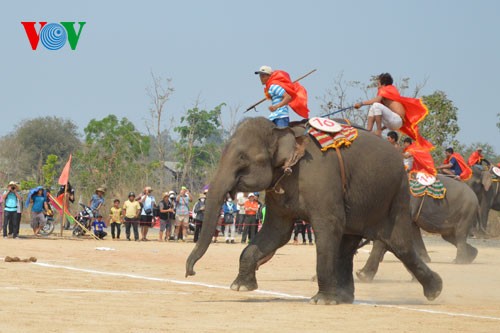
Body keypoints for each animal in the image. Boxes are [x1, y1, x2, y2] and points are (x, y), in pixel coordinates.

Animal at [185, 116, 442, 304]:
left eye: (242, 158)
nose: (190, 273)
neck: (283, 132)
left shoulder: (321, 179)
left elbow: (327, 227)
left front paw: (321, 301)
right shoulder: (279, 189)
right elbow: (277, 232)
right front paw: (240, 287)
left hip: (395, 195)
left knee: (398, 243)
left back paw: (435, 290)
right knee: (349, 244)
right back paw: (345, 298)